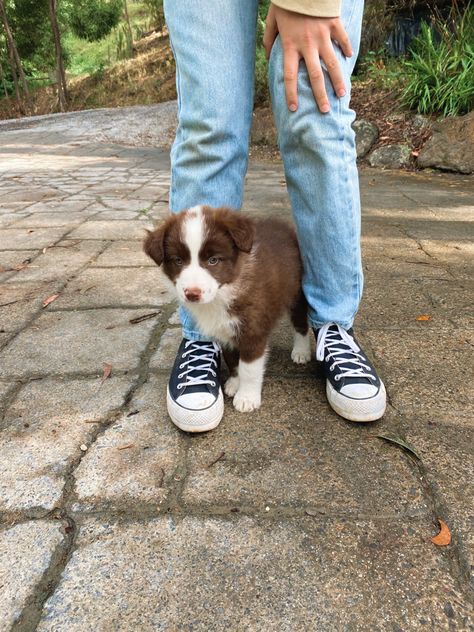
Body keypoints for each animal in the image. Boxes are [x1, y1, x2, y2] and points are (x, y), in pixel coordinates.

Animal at [144, 205, 312, 418]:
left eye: (214, 260)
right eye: (178, 260)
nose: (192, 294)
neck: (222, 294)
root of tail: (284, 226)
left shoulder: (252, 331)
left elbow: (249, 368)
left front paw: (247, 398)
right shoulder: (223, 330)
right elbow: (232, 359)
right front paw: (234, 383)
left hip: (297, 294)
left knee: (300, 324)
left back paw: (301, 352)